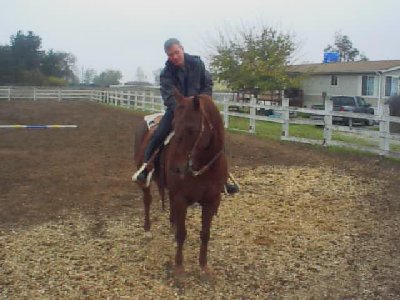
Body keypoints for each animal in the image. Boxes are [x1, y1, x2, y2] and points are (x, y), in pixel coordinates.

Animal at [134, 89, 228, 276]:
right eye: (174, 126)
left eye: (191, 129)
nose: (176, 168)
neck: (202, 168)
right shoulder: (181, 198)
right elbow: (182, 234)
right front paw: (179, 267)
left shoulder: (211, 201)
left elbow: (205, 233)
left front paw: (204, 266)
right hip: (147, 183)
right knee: (147, 201)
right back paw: (147, 230)